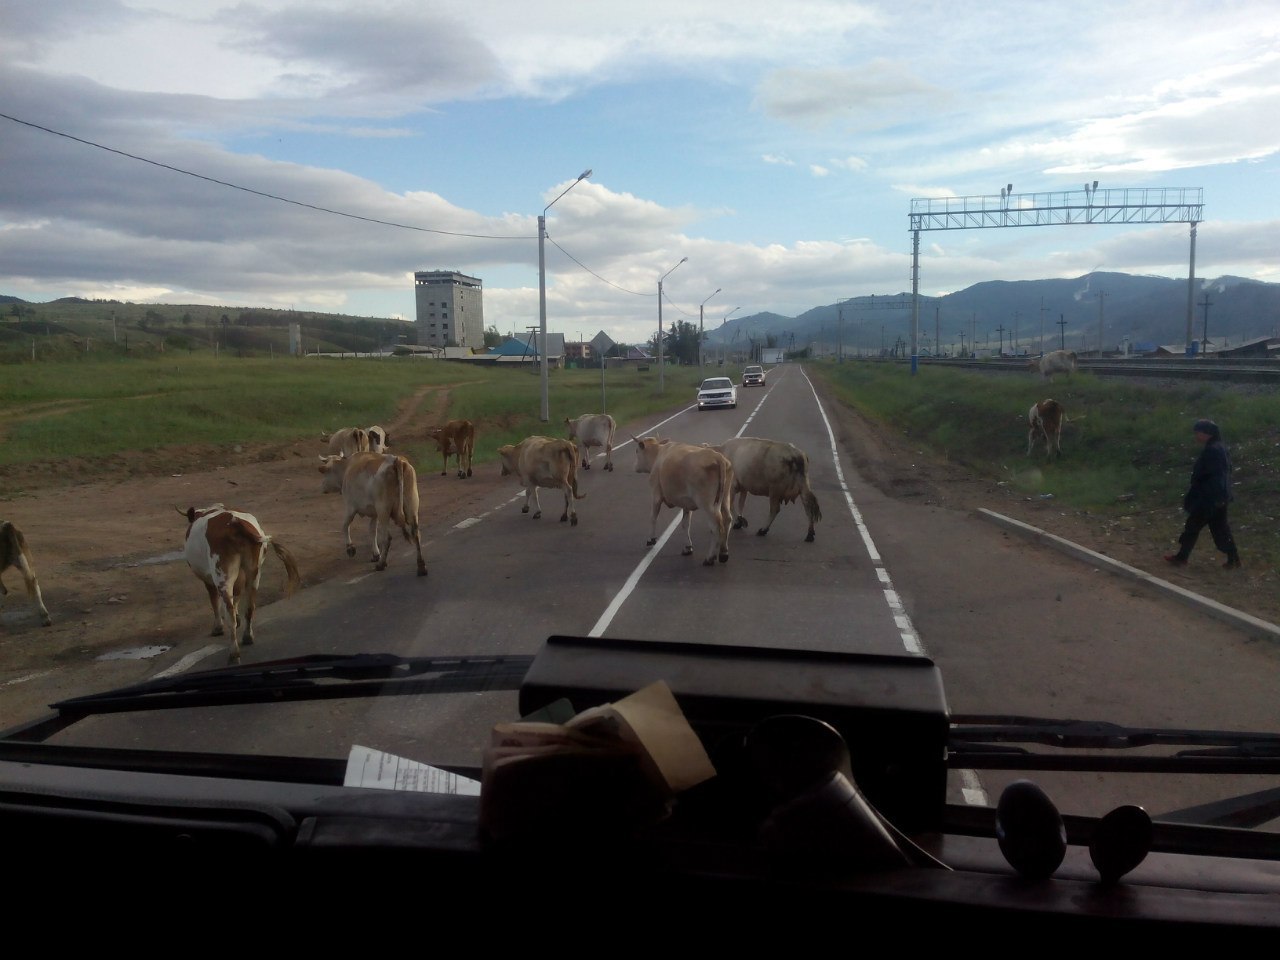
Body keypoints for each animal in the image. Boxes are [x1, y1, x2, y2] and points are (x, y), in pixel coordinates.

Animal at [180, 506, 302, 665]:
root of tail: (235, 522)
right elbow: (237, 597)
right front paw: (238, 620)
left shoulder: (208, 580)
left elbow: (214, 602)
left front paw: (217, 628)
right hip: (254, 572)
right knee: (250, 607)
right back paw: (248, 636)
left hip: (222, 575)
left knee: (229, 613)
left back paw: (234, 654)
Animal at [629, 437, 732, 568]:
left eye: (636, 451)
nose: (634, 466)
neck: (659, 455)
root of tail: (718, 457)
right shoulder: (686, 503)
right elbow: (685, 524)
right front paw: (688, 547)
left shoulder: (655, 495)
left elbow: (652, 517)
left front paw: (651, 539)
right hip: (725, 499)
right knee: (727, 520)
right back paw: (724, 553)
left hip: (708, 506)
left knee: (716, 528)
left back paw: (709, 558)